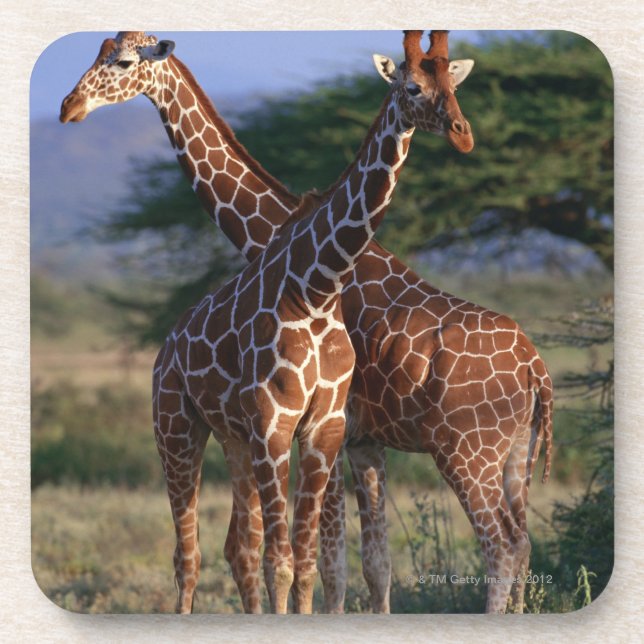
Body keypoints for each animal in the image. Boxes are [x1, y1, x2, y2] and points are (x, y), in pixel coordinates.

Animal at [60, 30, 551, 614]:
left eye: (124, 61)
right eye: (99, 54)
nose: (70, 106)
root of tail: (536, 369)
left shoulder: (336, 428)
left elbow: (329, 560)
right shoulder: (356, 440)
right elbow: (368, 563)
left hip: (467, 450)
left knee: (501, 546)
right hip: (514, 454)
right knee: (522, 543)